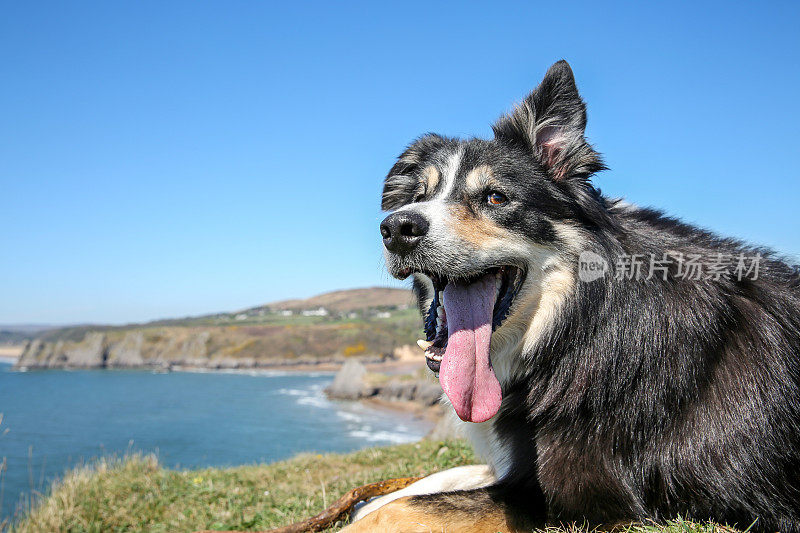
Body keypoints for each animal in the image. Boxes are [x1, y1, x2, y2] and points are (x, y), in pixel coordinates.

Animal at [340, 60, 796, 528]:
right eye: (418, 196)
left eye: (495, 197)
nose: (397, 228)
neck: (577, 325)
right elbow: (430, 483)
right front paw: (361, 502)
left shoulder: (586, 498)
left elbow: (405, 507)